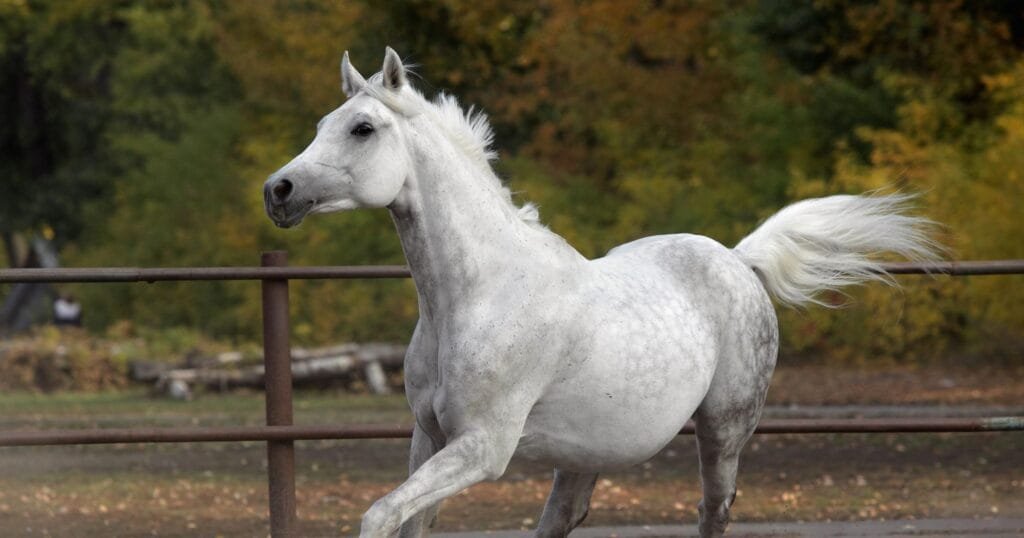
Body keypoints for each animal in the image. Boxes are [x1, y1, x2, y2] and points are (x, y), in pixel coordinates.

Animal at [263, 48, 939, 538]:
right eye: (322, 125)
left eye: (362, 127)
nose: (279, 191)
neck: (476, 298)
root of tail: (737, 260)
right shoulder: (427, 436)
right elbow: (405, 519)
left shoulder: (483, 447)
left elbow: (379, 513)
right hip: (586, 453)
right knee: (565, 519)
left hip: (724, 429)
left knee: (713, 510)